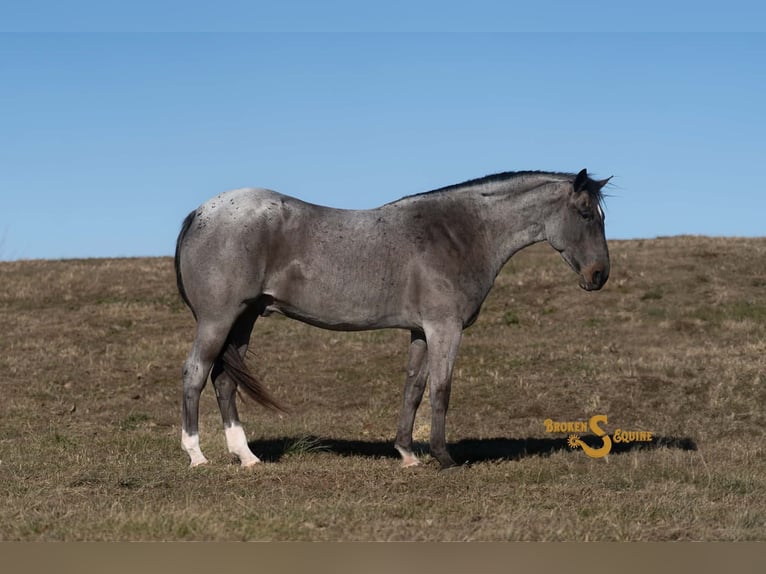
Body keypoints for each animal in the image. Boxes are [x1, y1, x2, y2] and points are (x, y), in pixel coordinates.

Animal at [174, 168, 610, 469]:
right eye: (586, 214)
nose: (599, 276)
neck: (459, 232)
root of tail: (201, 212)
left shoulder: (420, 330)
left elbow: (413, 389)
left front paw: (407, 453)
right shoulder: (444, 329)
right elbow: (441, 390)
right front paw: (443, 457)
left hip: (244, 320)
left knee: (224, 381)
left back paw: (246, 456)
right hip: (217, 320)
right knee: (195, 374)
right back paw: (196, 454)